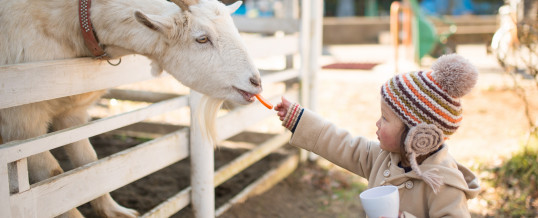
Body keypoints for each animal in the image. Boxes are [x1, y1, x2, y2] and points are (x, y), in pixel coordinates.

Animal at [0, 0, 260, 216]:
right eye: (202, 38)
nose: (256, 82)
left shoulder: (71, 112)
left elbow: (89, 164)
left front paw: (116, 211)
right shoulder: (21, 125)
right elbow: (53, 175)